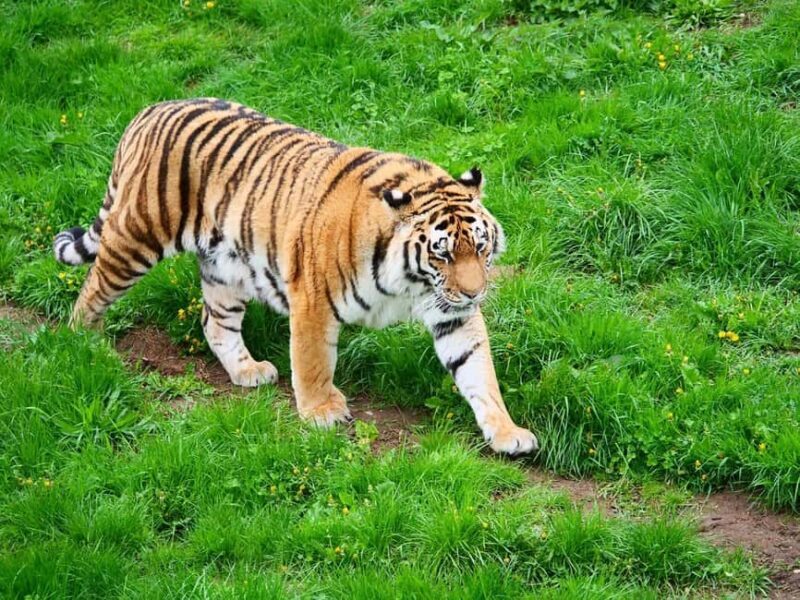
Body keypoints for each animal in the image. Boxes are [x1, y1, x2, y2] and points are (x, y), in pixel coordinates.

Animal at [53, 98, 537, 455]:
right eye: (442, 255)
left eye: (480, 248)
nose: (475, 293)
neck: (411, 282)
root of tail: (150, 109)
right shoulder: (313, 299)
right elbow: (313, 360)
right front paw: (321, 411)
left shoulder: (451, 314)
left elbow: (478, 371)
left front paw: (507, 432)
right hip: (136, 238)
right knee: (92, 290)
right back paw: (84, 344)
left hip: (226, 268)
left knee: (214, 322)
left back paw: (247, 370)